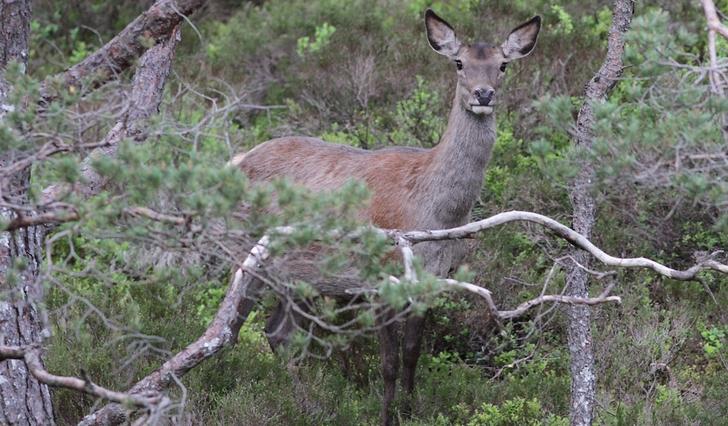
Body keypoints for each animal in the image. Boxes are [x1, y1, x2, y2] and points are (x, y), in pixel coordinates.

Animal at [233, 9, 540, 422]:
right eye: (459, 62)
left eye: (503, 64)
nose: (483, 94)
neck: (435, 213)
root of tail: (236, 161)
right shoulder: (378, 277)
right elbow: (388, 362)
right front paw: (385, 415)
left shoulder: (432, 278)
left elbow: (411, 355)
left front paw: (411, 410)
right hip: (246, 253)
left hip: (299, 275)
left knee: (277, 332)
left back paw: (303, 400)